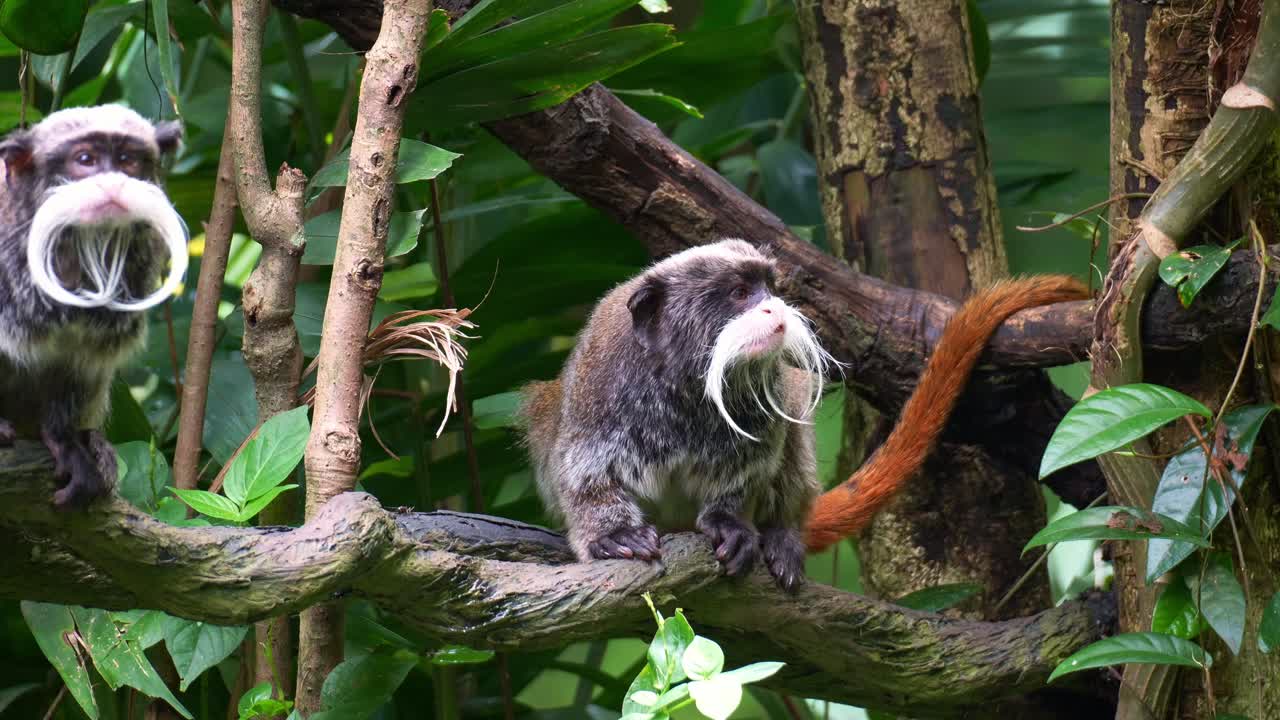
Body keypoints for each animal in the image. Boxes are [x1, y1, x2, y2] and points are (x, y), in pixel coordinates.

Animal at [517, 238, 1088, 591]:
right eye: (741, 293)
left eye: (769, 288)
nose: (774, 308)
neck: (683, 383)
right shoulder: (600, 389)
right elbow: (586, 474)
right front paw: (611, 535)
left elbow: (748, 465)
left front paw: (731, 524)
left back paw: (783, 535)